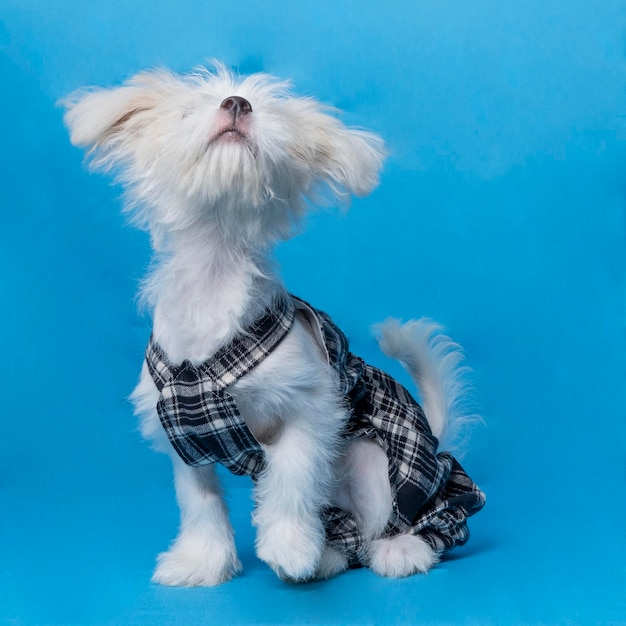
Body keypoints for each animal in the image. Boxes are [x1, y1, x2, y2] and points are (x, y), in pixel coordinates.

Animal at [63, 64, 482, 584]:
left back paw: (399, 549)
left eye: (272, 118)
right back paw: (329, 555)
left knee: (390, 518)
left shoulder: (312, 406)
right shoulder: (184, 433)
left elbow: (293, 474)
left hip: (372, 458)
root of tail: (434, 439)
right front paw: (202, 561)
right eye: (187, 112)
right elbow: (199, 500)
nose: (237, 103)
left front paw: (289, 545)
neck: (214, 279)